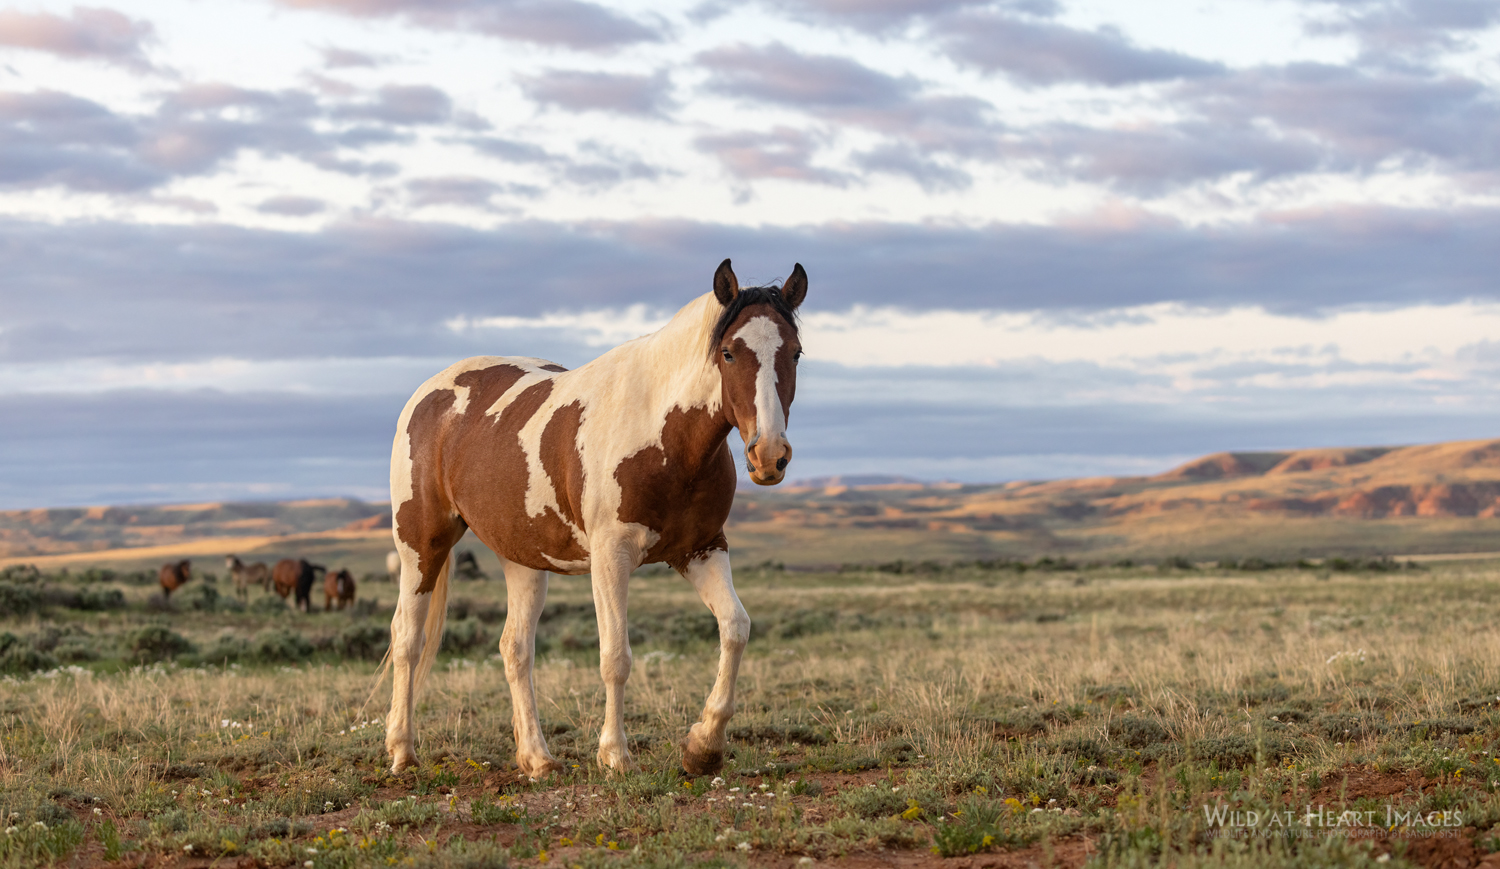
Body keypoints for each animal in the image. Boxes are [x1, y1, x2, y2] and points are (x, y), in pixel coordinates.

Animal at [385, 258, 805, 778]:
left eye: (795, 354)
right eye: (728, 353)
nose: (769, 455)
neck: (662, 432)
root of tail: (427, 396)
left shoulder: (701, 549)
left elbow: (735, 628)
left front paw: (703, 746)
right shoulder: (611, 556)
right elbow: (615, 657)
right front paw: (615, 755)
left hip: (522, 559)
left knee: (515, 649)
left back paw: (537, 758)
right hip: (421, 545)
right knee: (407, 638)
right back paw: (402, 750)